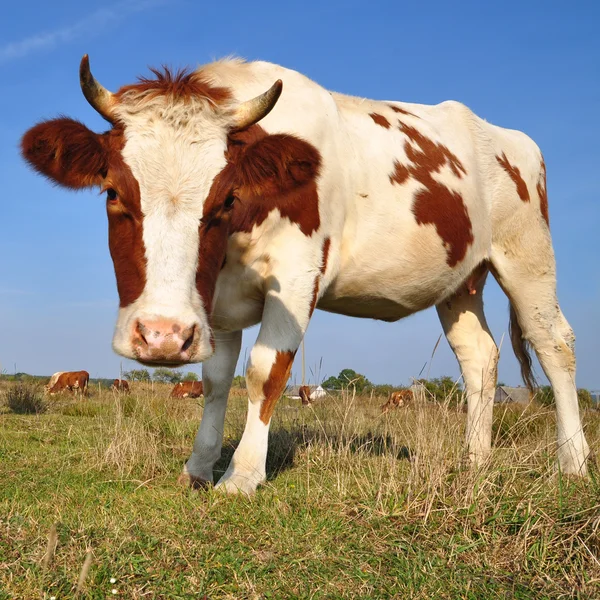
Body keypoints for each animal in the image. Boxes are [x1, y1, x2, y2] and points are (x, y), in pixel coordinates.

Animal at [19, 55, 592, 492]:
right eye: (113, 192)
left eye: (225, 199)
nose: (161, 337)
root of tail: (507, 135)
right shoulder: (214, 300)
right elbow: (216, 380)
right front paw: (199, 468)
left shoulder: (296, 277)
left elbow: (264, 370)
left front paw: (241, 476)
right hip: (461, 279)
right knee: (479, 357)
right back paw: (475, 461)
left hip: (527, 256)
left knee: (554, 344)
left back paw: (574, 462)